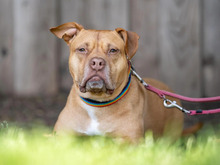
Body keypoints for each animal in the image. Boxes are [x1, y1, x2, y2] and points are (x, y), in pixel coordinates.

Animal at [50, 22, 184, 143]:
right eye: (82, 49)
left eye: (113, 50)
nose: (97, 62)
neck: (97, 103)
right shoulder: (60, 136)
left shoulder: (131, 141)